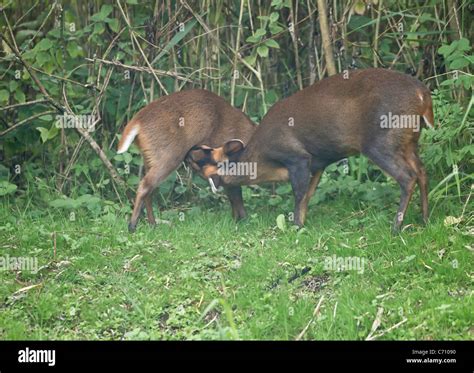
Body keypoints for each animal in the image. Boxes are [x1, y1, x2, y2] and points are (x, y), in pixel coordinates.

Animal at [117, 88, 256, 231]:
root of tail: (137, 121)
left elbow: (233, 196)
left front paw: (237, 220)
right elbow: (236, 196)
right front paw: (243, 221)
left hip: (149, 158)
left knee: (149, 189)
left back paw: (153, 225)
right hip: (169, 156)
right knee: (144, 186)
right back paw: (132, 226)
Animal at [187, 68, 436, 231]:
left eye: (204, 156)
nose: (190, 151)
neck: (261, 159)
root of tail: (423, 95)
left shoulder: (297, 157)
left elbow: (298, 194)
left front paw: (296, 226)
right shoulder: (318, 163)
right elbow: (308, 195)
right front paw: (302, 223)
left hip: (381, 141)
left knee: (407, 176)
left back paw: (396, 226)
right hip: (409, 140)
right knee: (422, 171)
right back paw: (425, 219)